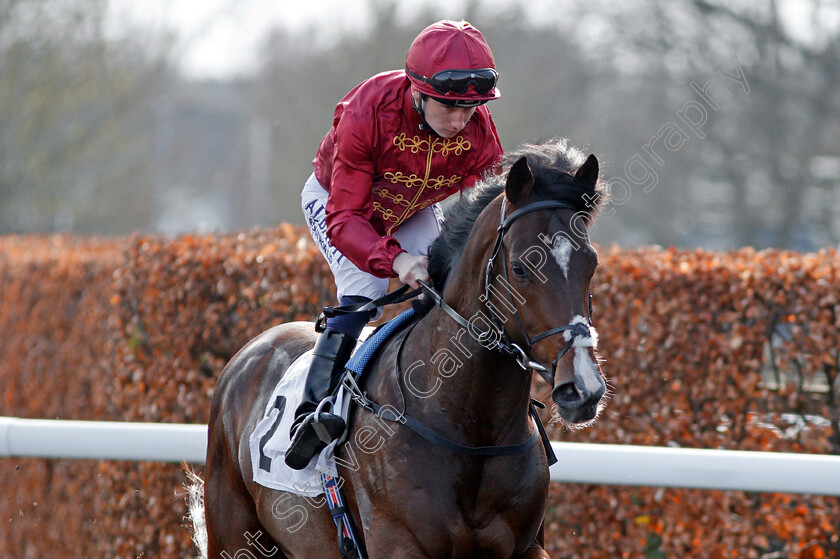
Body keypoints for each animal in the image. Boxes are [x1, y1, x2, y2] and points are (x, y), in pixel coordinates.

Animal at [202, 139, 612, 559]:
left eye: (591, 263)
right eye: (519, 268)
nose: (582, 387)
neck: (473, 431)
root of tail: (249, 352)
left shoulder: (526, 546)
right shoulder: (399, 543)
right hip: (233, 534)